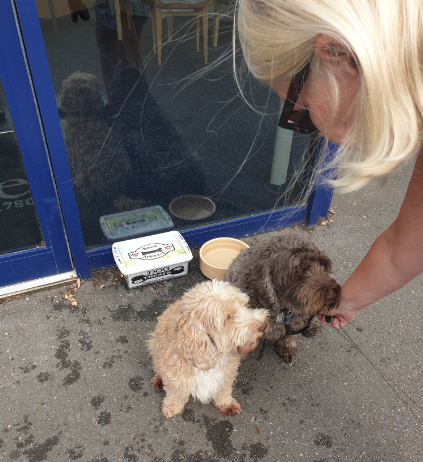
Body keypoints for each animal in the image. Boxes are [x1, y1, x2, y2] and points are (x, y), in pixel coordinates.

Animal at [225, 229, 342, 362]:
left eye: (322, 264)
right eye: (299, 271)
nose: (332, 296)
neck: (285, 309)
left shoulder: (293, 325)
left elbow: (289, 336)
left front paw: (287, 347)